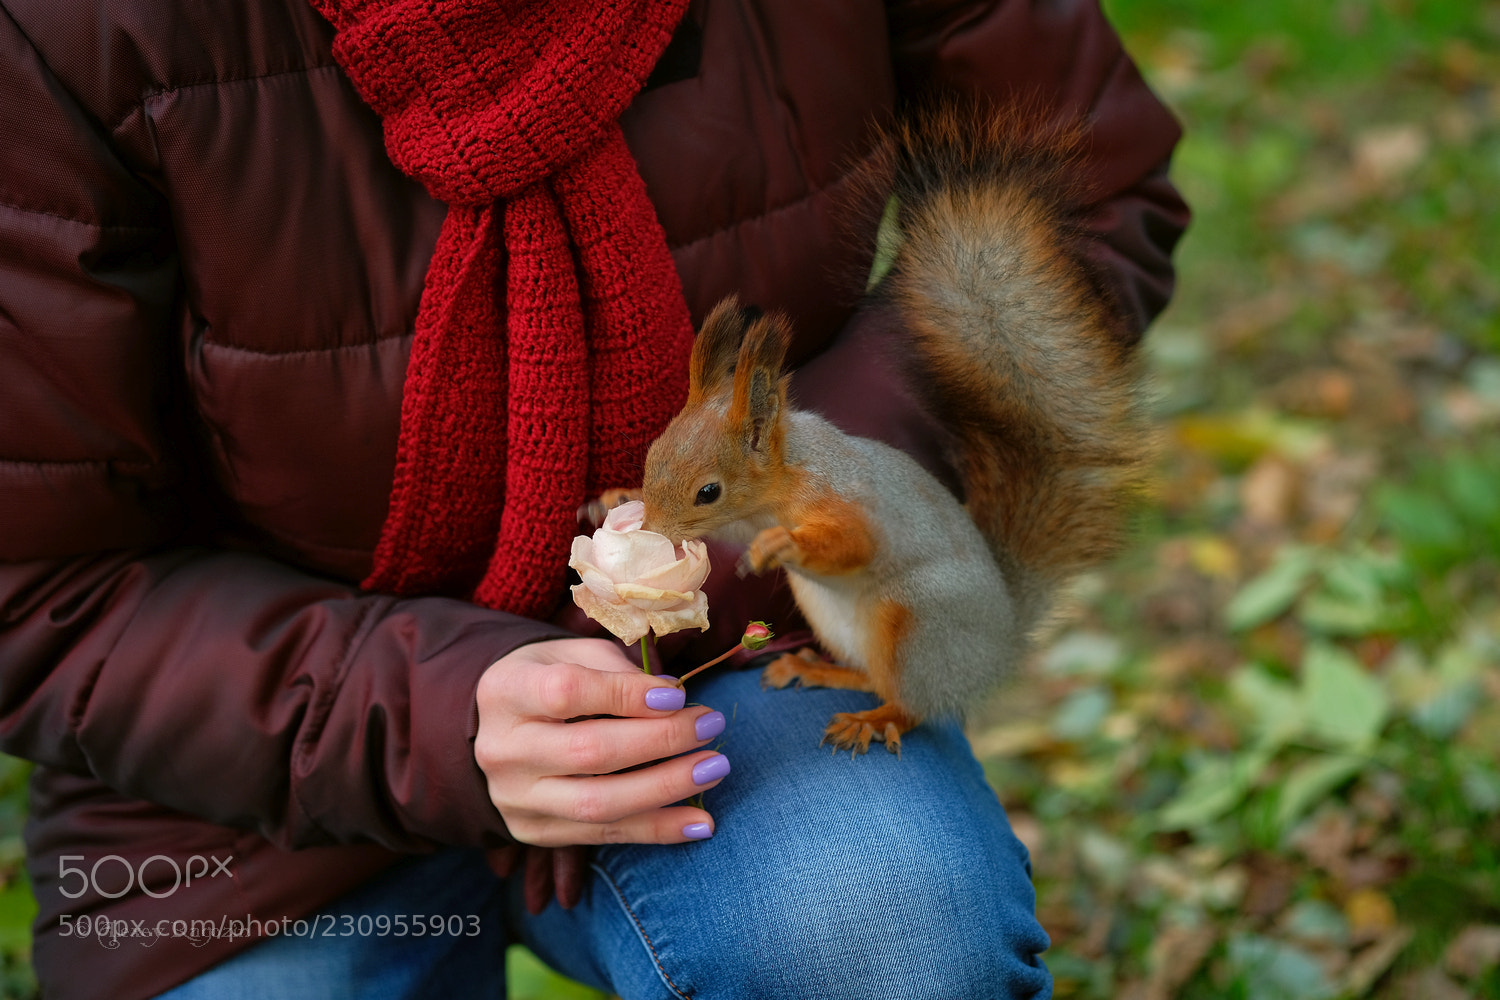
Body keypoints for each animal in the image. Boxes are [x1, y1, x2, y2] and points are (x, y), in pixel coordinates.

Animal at [594, 103, 1146, 758]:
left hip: (917, 625)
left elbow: (853, 544)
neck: (781, 484)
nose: (652, 527)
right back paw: (818, 670)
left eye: (709, 491)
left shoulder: (846, 499)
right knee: (871, 675)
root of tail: (1001, 645)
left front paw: (784, 546)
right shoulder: (741, 522)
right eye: (652, 458)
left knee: (915, 701)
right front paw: (616, 496)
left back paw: (874, 719)